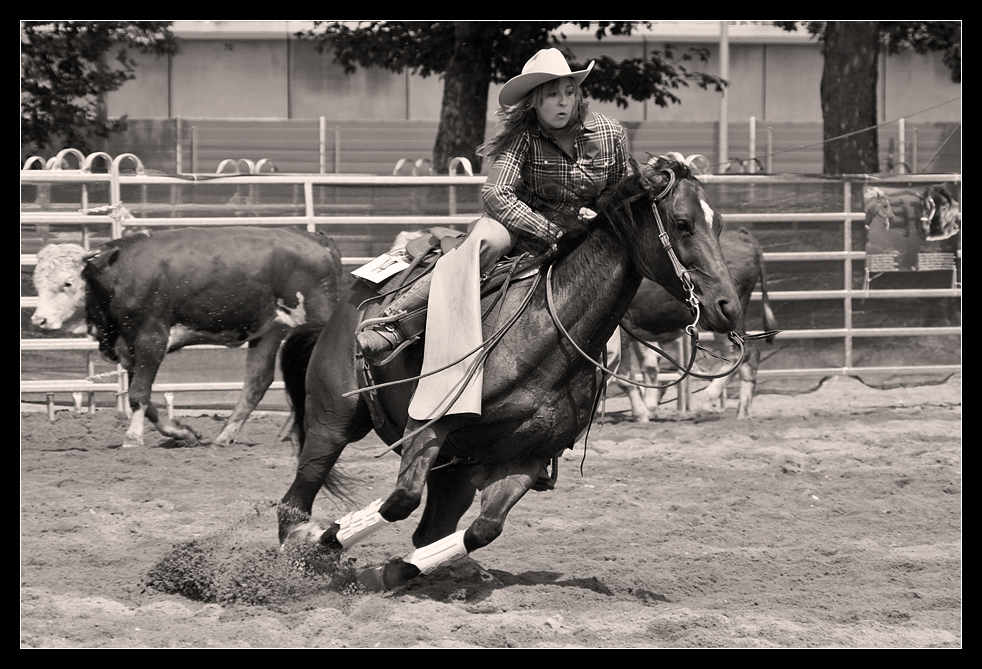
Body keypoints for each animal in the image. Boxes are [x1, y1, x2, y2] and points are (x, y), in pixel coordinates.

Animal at [30, 226, 344, 448]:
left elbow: (138, 394)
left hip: (315, 319)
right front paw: (182, 432)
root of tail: (315, 239)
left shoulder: (151, 340)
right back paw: (233, 436)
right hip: (269, 330)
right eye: (36, 283)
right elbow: (143, 398)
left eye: (67, 283)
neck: (119, 277)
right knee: (258, 382)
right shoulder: (130, 349)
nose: (38, 320)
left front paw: (133, 438)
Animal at [272, 157, 740, 588]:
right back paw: (295, 553)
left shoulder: (527, 457)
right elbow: (399, 501)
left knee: (432, 530)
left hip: (456, 468)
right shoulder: (429, 423)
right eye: (682, 224)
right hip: (332, 422)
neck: (544, 335)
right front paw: (322, 541)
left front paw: (391, 571)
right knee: (295, 501)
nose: (729, 307)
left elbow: (483, 529)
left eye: (719, 226)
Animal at [616, 227, 776, 420]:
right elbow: (649, 365)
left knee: (743, 354)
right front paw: (648, 407)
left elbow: (623, 375)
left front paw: (641, 412)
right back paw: (742, 410)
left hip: (729, 315)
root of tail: (741, 234)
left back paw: (709, 402)